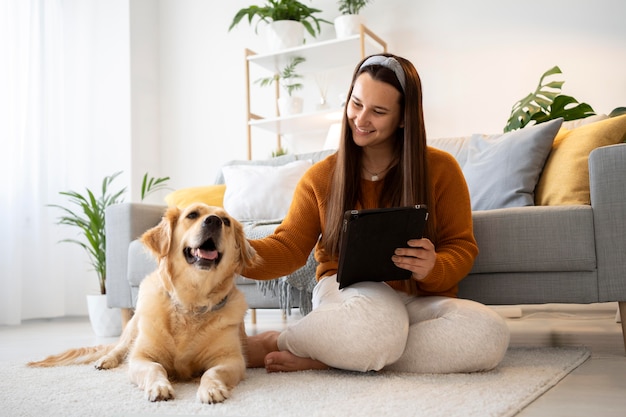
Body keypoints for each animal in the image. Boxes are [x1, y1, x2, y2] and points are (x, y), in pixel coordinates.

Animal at [26, 203, 256, 402]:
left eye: (226, 221)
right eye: (192, 215)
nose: (214, 221)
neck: (191, 302)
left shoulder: (231, 359)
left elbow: (213, 372)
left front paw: (211, 389)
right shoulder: (141, 357)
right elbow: (155, 368)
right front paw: (160, 387)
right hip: (134, 326)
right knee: (119, 348)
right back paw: (106, 360)